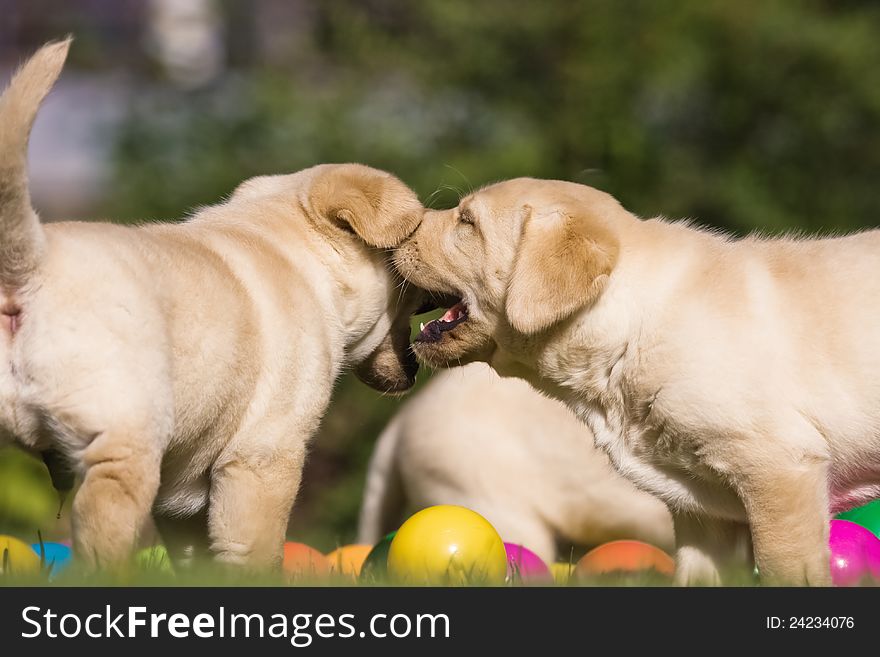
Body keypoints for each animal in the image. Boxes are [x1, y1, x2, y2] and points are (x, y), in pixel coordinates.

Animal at [0, 41, 426, 568]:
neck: (287, 246)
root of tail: (31, 263)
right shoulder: (263, 457)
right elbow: (254, 551)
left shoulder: (183, 503)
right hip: (123, 447)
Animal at [396, 177, 880, 580]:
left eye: (467, 222)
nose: (399, 229)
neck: (633, 322)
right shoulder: (706, 513)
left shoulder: (781, 471)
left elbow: (786, 570)